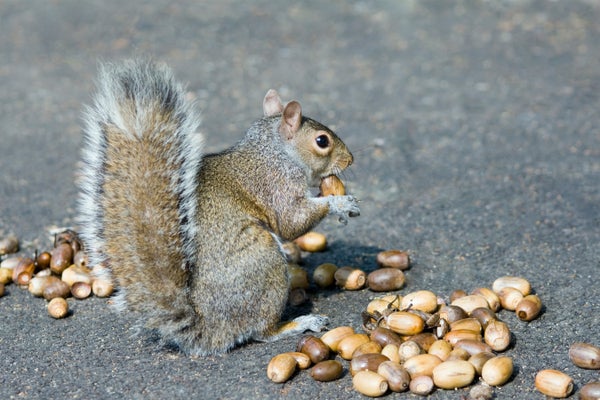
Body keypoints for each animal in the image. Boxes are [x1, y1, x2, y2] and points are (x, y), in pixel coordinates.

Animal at [78, 60, 360, 356]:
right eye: (322, 141)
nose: (350, 159)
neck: (276, 151)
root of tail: (209, 329)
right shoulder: (277, 184)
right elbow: (292, 221)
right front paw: (341, 203)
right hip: (265, 262)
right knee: (261, 332)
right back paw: (299, 323)